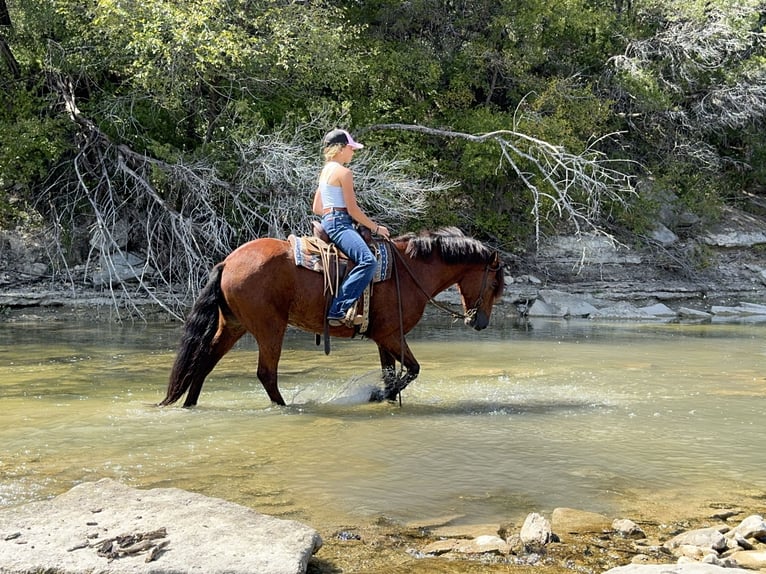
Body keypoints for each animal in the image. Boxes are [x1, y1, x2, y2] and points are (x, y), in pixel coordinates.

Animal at [159, 227, 505, 407]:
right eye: (493, 286)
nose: (480, 322)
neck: (410, 272)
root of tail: (228, 262)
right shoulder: (392, 335)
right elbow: (413, 370)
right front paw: (377, 394)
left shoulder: (383, 337)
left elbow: (392, 373)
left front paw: (385, 396)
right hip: (269, 328)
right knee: (266, 374)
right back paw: (284, 407)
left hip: (233, 324)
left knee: (204, 362)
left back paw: (189, 405)